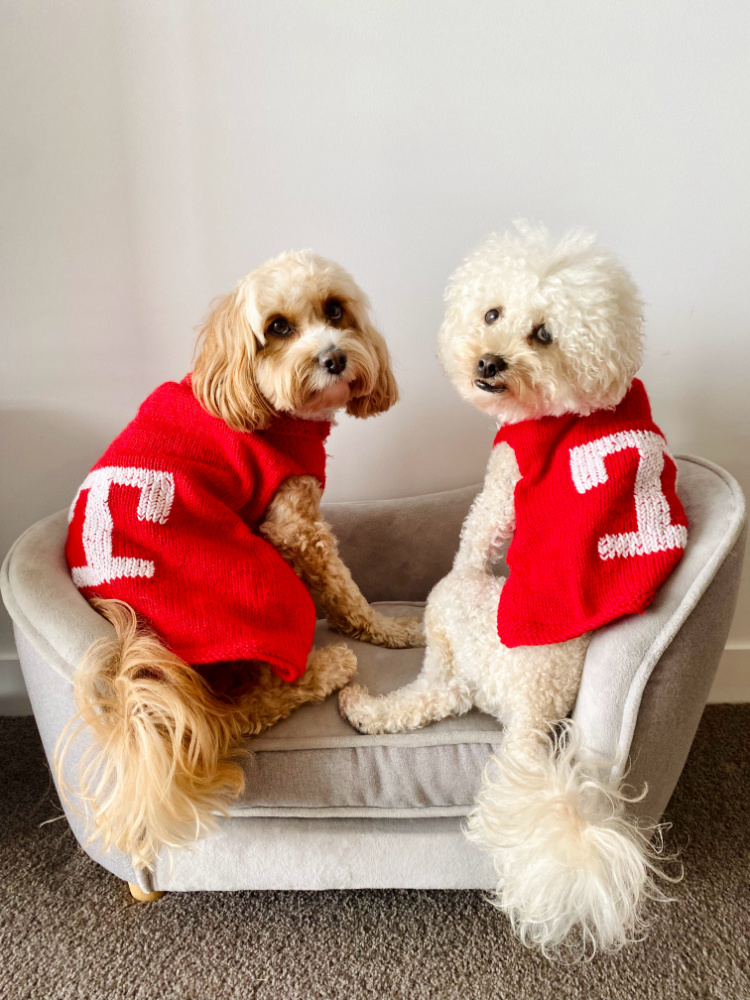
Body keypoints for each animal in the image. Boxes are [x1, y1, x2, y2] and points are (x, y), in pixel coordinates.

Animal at [340, 223, 680, 956]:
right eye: (492, 312)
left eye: (544, 334)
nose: (490, 363)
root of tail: (534, 714)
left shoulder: (502, 485)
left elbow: (477, 533)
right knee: (440, 700)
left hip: (455, 613)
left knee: (431, 685)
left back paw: (364, 704)